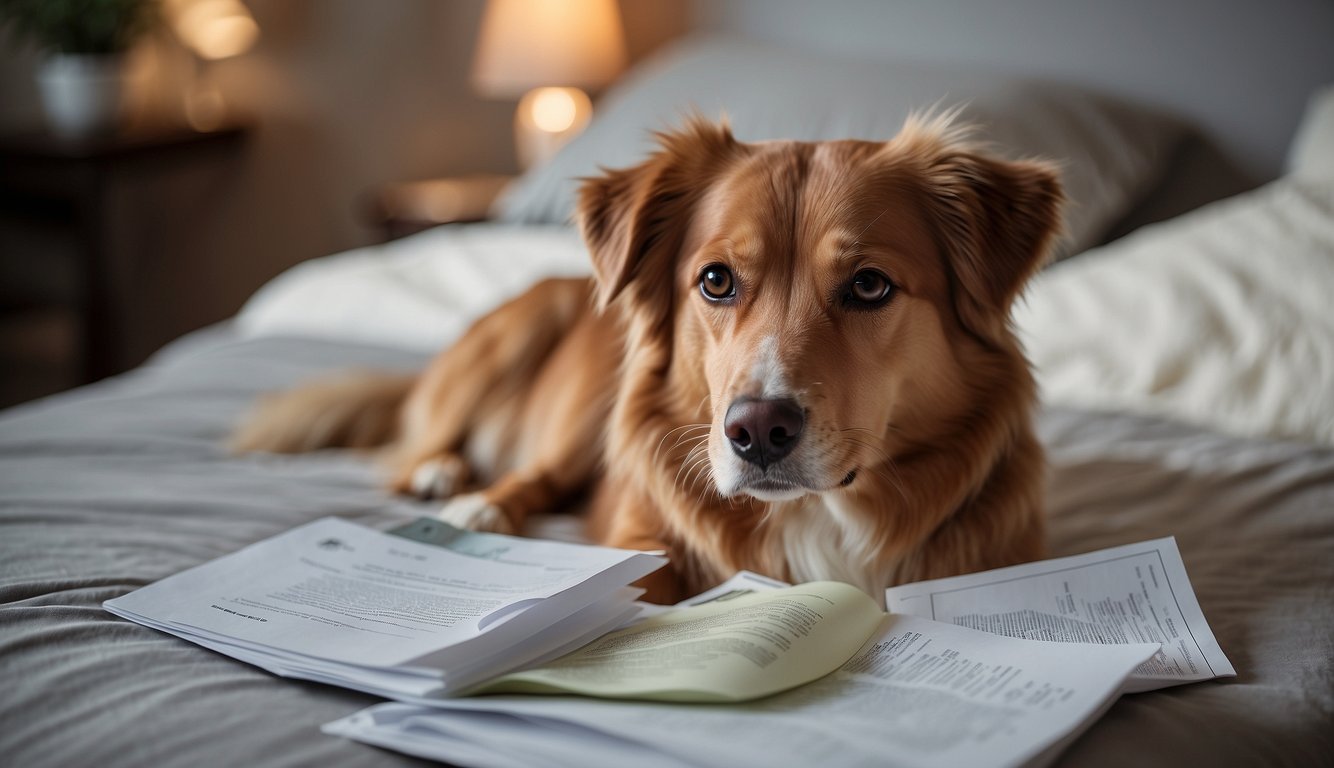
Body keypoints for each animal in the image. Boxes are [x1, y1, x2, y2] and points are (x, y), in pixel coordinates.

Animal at [229, 114, 1061, 605]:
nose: (756, 432)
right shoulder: (638, 536)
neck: (815, 515)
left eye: (869, 285)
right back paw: (463, 492)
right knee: (479, 460)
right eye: (716, 280)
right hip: (543, 361)